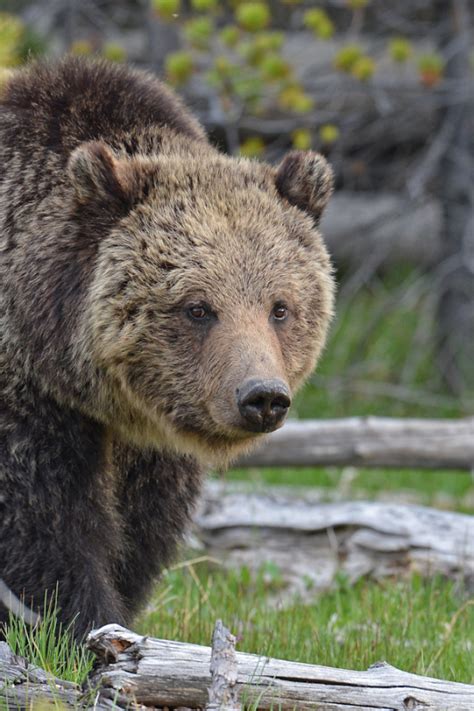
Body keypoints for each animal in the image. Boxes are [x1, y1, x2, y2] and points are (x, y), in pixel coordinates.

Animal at [0, 57, 334, 640]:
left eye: (280, 307)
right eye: (198, 307)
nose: (261, 397)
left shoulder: (154, 444)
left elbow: (141, 529)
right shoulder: (30, 399)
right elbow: (45, 521)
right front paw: (78, 624)